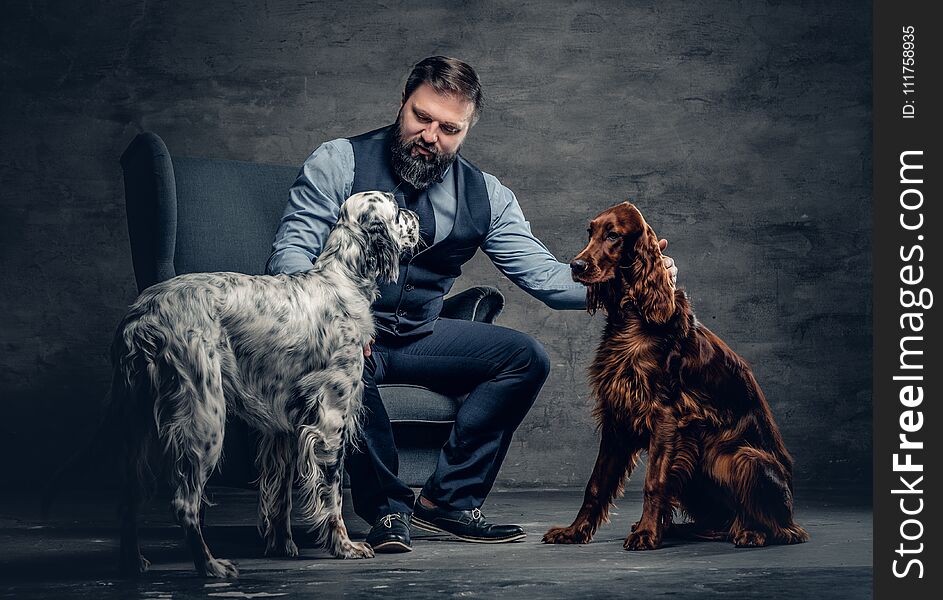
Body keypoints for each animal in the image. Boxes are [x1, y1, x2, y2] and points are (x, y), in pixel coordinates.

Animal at [544, 204, 812, 552]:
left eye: (613, 235)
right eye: (590, 233)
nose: (576, 266)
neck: (633, 317)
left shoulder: (667, 416)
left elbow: (654, 481)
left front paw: (646, 534)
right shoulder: (617, 414)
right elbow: (596, 484)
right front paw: (574, 531)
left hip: (743, 458)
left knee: (784, 530)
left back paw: (751, 532)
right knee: (719, 524)